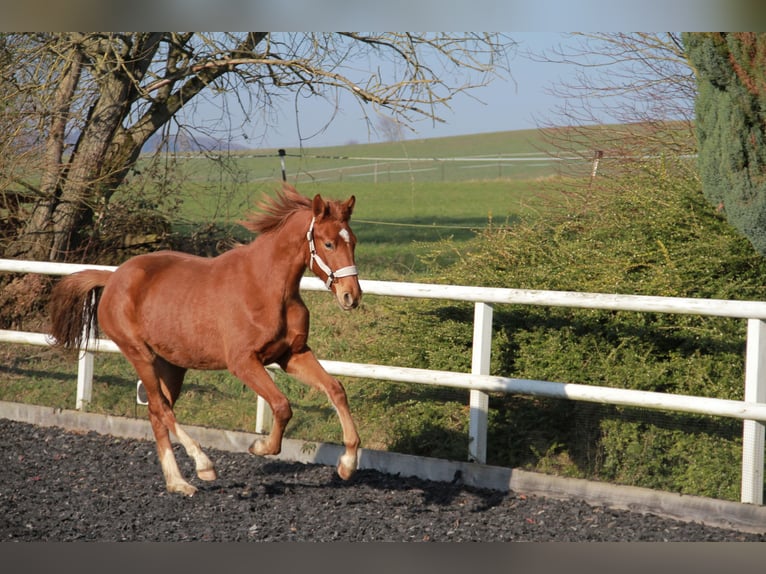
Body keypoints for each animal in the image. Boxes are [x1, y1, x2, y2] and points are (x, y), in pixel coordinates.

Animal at [49, 183, 364, 496]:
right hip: (140, 354)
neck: (267, 288)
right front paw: (260, 446)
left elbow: (335, 390)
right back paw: (203, 465)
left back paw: (177, 482)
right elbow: (281, 406)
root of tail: (113, 277)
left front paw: (347, 464)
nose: (352, 296)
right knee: (162, 408)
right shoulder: (243, 362)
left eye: (353, 242)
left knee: (156, 411)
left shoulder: (292, 354)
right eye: (328, 244)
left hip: (172, 365)